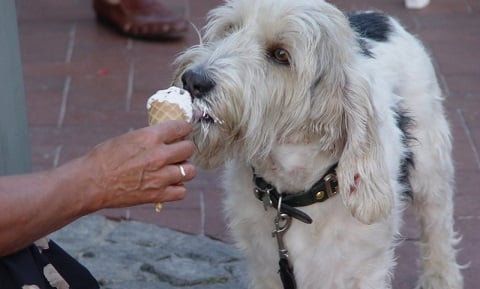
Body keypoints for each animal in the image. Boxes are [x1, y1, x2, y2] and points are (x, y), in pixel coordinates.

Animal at [172, 1, 462, 286]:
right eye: (230, 29)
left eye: (280, 55)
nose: (193, 80)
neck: (294, 196)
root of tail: (377, 15)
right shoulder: (266, 268)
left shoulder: (364, 269)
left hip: (431, 170)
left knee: (438, 230)